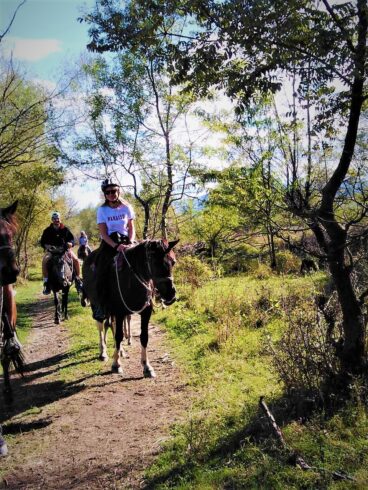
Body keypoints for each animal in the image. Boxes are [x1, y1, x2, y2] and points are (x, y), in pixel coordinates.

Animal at [81, 239, 178, 378]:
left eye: (173, 262)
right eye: (155, 262)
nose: (170, 294)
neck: (131, 279)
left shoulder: (145, 312)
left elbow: (144, 337)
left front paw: (147, 367)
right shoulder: (120, 312)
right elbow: (119, 336)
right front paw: (116, 365)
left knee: (112, 325)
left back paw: (120, 351)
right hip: (96, 305)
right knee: (101, 325)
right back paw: (103, 352)